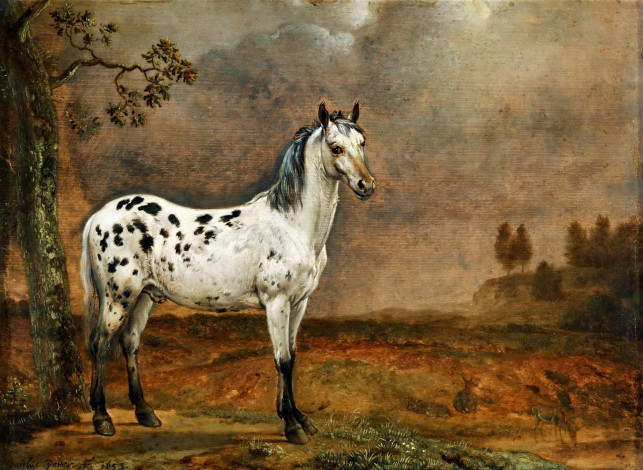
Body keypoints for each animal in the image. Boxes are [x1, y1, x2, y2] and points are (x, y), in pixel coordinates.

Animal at [80, 101, 375, 445]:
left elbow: (292, 357)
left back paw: (145, 412)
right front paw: (292, 426)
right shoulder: (276, 303)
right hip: (118, 298)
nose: (367, 186)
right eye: (336, 147)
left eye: (362, 143)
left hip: (145, 296)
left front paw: (298, 418)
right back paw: (102, 418)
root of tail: (99, 216)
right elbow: (282, 360)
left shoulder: (300, 303)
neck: (293, 225)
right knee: (100, 343)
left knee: (130, 343)